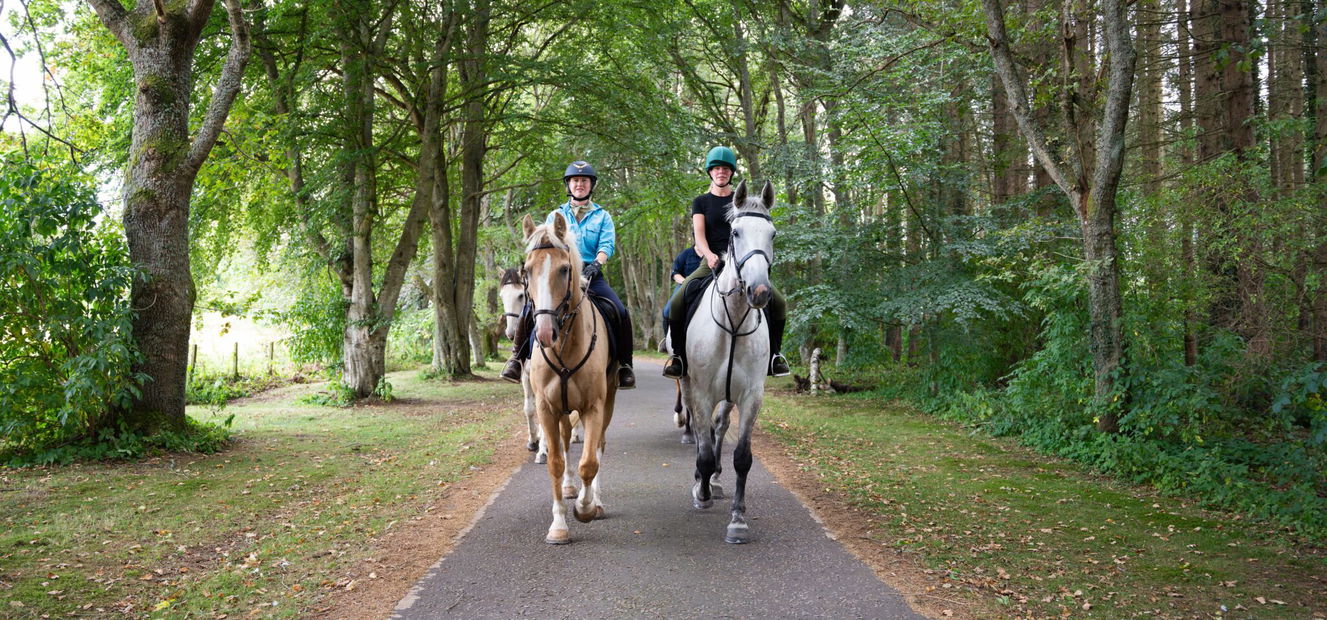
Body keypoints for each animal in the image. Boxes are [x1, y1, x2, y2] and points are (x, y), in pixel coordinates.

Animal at [498, 268, 582, 465]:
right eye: (502, 296)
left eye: (521, 295)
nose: (510, 333)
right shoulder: (526, 377)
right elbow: (529, 409)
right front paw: (533, 441)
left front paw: (543, 450)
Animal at [520, 212, 617, 544]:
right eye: (527, 270)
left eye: (564, 269)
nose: (545, 333)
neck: (565, 343)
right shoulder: (547, 409)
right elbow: (555, 462)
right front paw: (559, 525)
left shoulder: (594, 407)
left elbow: (590, 462)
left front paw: (586, 509)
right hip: (561, 410)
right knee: (564, 444)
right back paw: (569, 488)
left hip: (609, 401)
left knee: (598, 447)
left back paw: (596, 500)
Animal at [680, 180, 777, 544]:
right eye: (735, 232)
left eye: (773, 234)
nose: (760, 292)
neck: (732, 321)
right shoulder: (702, 392)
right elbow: (705, 450)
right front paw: (702, 493)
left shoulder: (751, 396)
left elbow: (742, 457)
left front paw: (738, 520)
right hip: (687, 384)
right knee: (700, 430)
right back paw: (702, 481)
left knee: (719, 427)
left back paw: (717, 481)